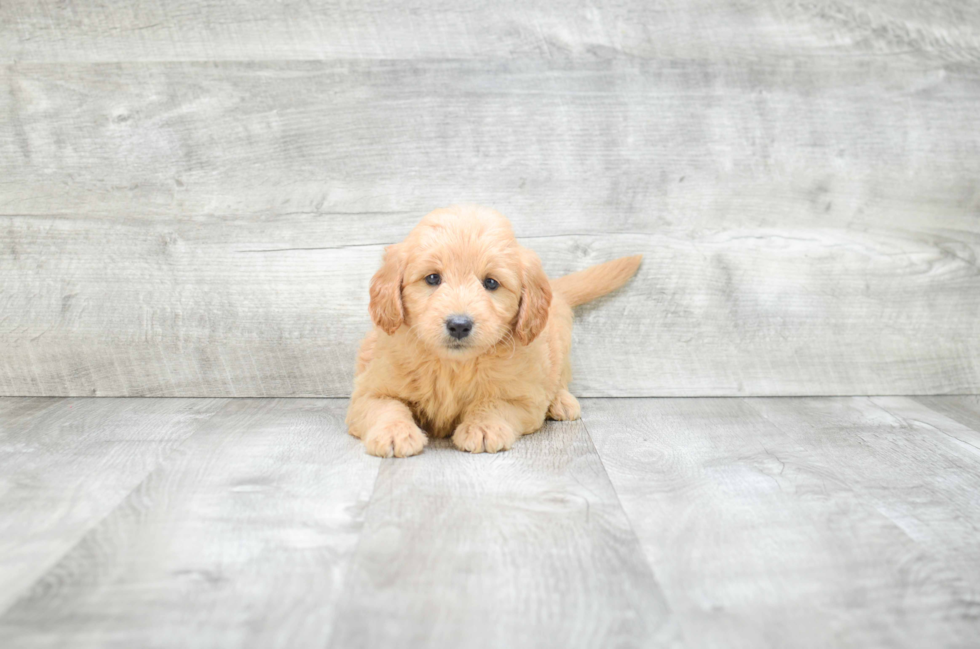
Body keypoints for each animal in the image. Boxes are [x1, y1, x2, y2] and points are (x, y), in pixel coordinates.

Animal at [344, 206, 644, 456]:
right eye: (432, 278)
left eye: (491, 283)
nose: (459, 325)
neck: (453, 366)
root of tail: (556, 289)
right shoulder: (369, 391)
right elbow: (387, 406)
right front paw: (395, 432)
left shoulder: (523, 397)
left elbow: (494, 404)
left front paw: (483, 428)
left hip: (559, 343)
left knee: (559, 378)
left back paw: (562, 402)